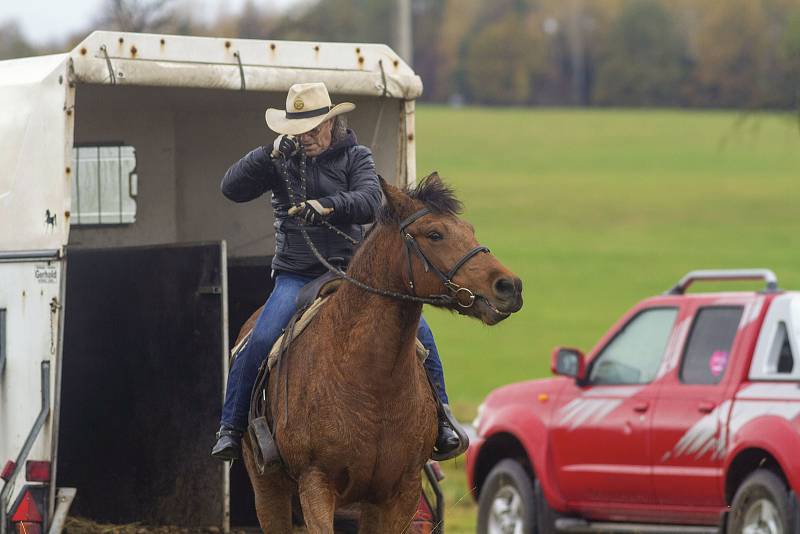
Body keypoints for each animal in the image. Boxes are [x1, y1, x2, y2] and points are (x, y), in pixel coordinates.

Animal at [236, 174, 524, 532]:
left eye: (469, 229)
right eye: (435, 233)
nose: (509, 286)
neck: (373, 382)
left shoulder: (399, 493)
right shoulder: (316, 484)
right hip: (269, 491)